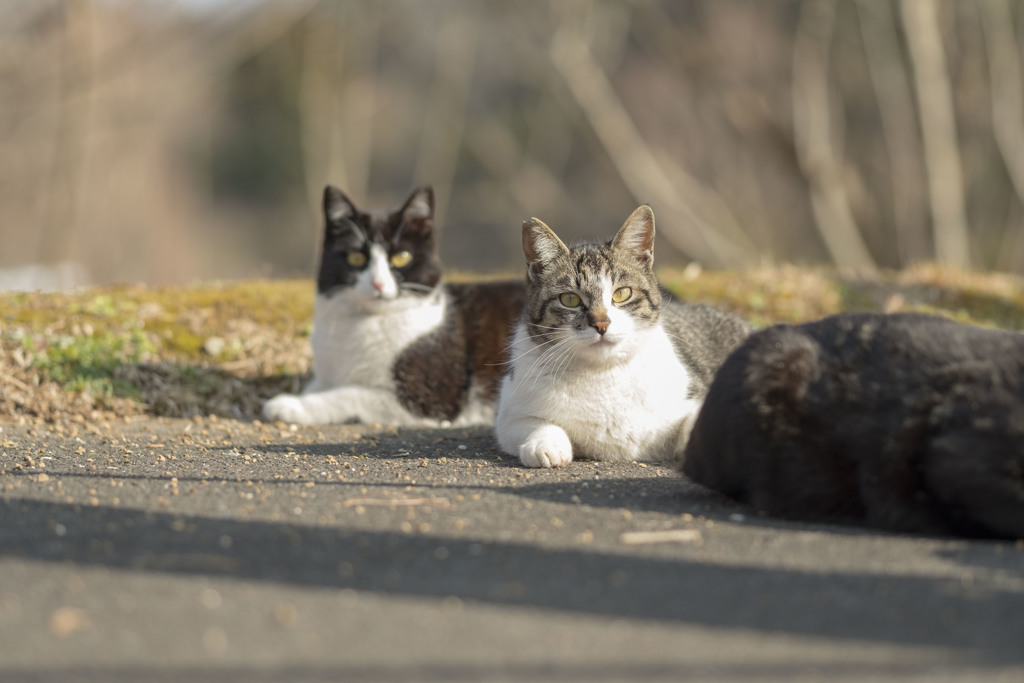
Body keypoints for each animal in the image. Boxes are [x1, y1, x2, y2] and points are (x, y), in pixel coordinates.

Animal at [264, 184, 524, 423]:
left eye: (402, 257)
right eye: (356, 257)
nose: (378, 283)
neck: (361, 325)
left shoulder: (428, 398)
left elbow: (350, 393)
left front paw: (289, 405)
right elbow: (318, 386)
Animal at [495, 205, 753, 466]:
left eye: (622, 293)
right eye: (569, 299)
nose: (601, 323)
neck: (602, 374)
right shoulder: (510, 414)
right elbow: (536, 424)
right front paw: (545, 446)